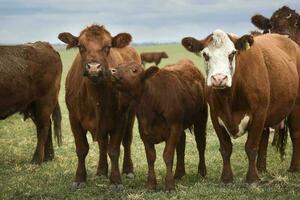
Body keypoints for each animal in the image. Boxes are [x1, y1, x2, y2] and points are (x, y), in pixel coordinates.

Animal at [58, 24, 141, 190]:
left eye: (107, 47)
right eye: (81, 46)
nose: (94, 68)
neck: (95, 96)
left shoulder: (120, 119)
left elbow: (114, 150)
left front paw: (116, 181)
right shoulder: (73, 118)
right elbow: (82, 149)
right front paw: (79, 178)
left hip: (131, 116)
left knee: (127, 141)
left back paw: (128, 169)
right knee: (103, 144)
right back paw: (101, 171)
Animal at [109, 59, 207, 192]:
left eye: (134, 70)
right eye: (119, 65)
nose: (112, 71)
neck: (152, 102)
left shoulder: (174, 128)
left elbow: (168, 155)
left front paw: (169, 186)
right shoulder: (144, 131)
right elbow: (151, 157)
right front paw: (151, 185)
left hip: (201, 118)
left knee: (201, 144)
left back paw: (202, 172)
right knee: (181, 145)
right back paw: (179, 173)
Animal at [182, 29, 300, 183]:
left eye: (232, 53)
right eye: (205, 55)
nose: (219, 79)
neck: (229, 97)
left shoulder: (259, 114)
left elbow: (251, 147)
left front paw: (252, 178)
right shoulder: (215, 116)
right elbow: (226, 148)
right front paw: (226, 178)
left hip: (295, 106)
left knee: (295, 134)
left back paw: (293, 167)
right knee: (264, 137)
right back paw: (261, 168)